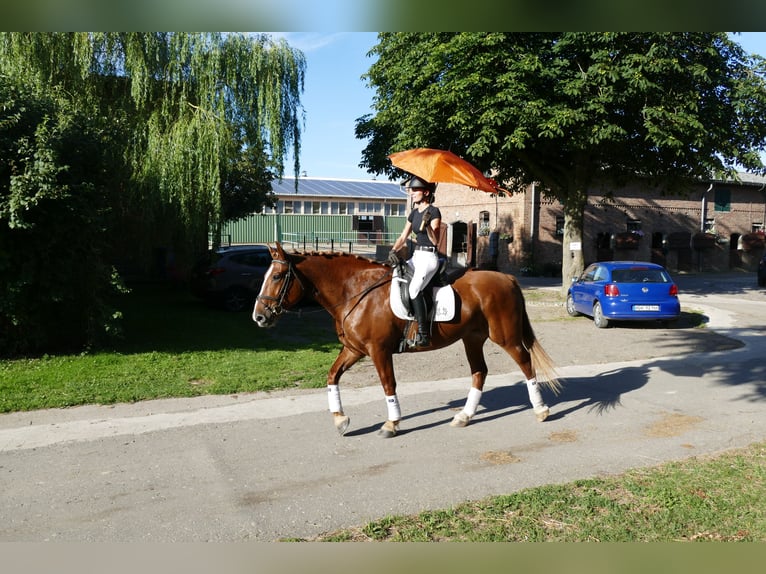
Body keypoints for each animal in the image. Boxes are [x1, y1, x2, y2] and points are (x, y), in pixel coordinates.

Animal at [252, 242, 561, 438]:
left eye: (277, 276)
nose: (259, 317)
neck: (356, 292)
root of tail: (507, 278)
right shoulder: (353, 349)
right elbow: (332, 375)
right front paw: (340, 420)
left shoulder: (378, 350)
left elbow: (388, 385)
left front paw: (391, 424)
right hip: (472, 338)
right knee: (479, 372)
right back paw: (464, 416)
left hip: (505, 337)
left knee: (525, 363)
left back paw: (541, 409)